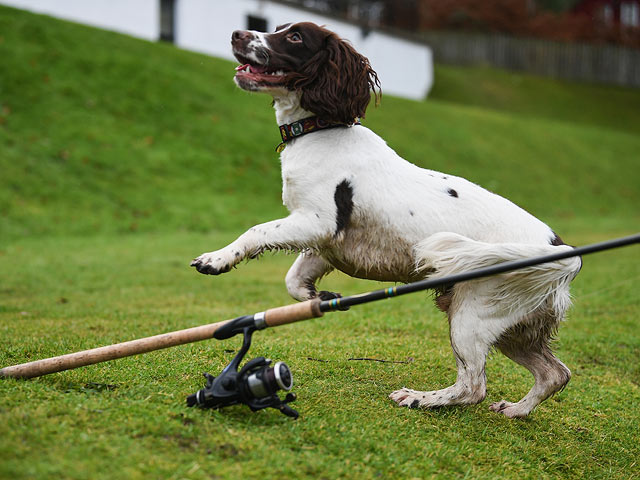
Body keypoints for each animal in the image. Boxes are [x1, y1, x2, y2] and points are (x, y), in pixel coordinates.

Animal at [189, 24, 580, 418]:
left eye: (296, 37)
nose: (237, 34)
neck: (320, 132)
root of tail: (561, 250)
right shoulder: (325, 244)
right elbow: (293, 281)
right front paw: (321, 297)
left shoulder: (317, 221)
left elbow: (256, 231)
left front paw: (216, 259)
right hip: (515, 324)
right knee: (554, 373)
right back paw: (516, 410)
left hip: (473, 313)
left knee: (473, 386)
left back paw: (421, 398)